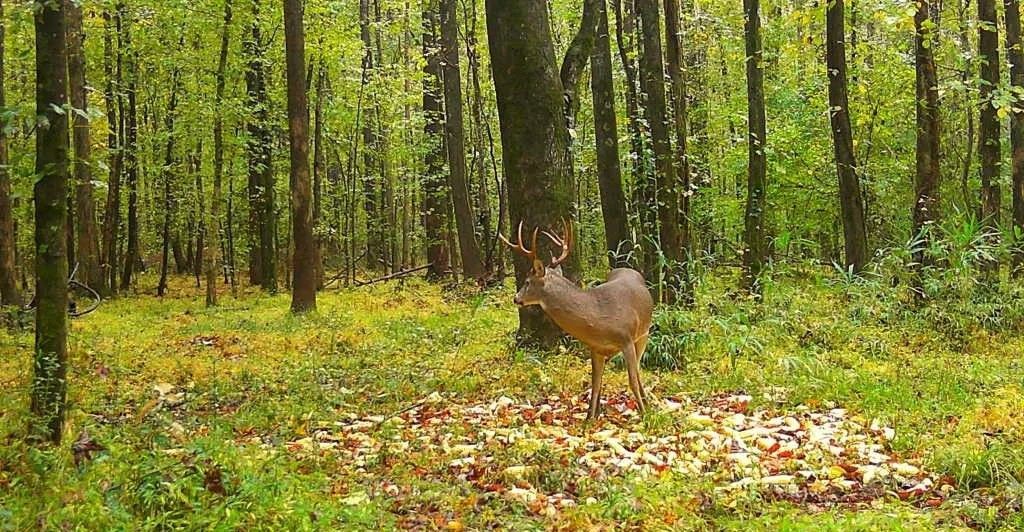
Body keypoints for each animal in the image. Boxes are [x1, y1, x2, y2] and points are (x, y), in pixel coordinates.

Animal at [501, 220, 654, 420]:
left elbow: (631, 379)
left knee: (637, 369)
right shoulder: (595, 348)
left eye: (527, 281)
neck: (600, 318)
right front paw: (590, 418)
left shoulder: (626, 339)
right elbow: (595, 383)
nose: (516, 298)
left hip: (643, 334)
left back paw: (646, 404)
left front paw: (644, 415)